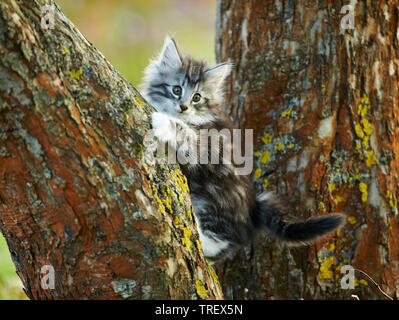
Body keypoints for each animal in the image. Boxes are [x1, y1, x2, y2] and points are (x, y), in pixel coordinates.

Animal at [141, 37, 346, 262]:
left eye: (196, 97)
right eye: (177, 89)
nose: (183, 107)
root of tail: (252, 209)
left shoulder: (208, 145)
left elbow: (184, 133)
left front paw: (163, 122)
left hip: (216, 196)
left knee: (224, 238)